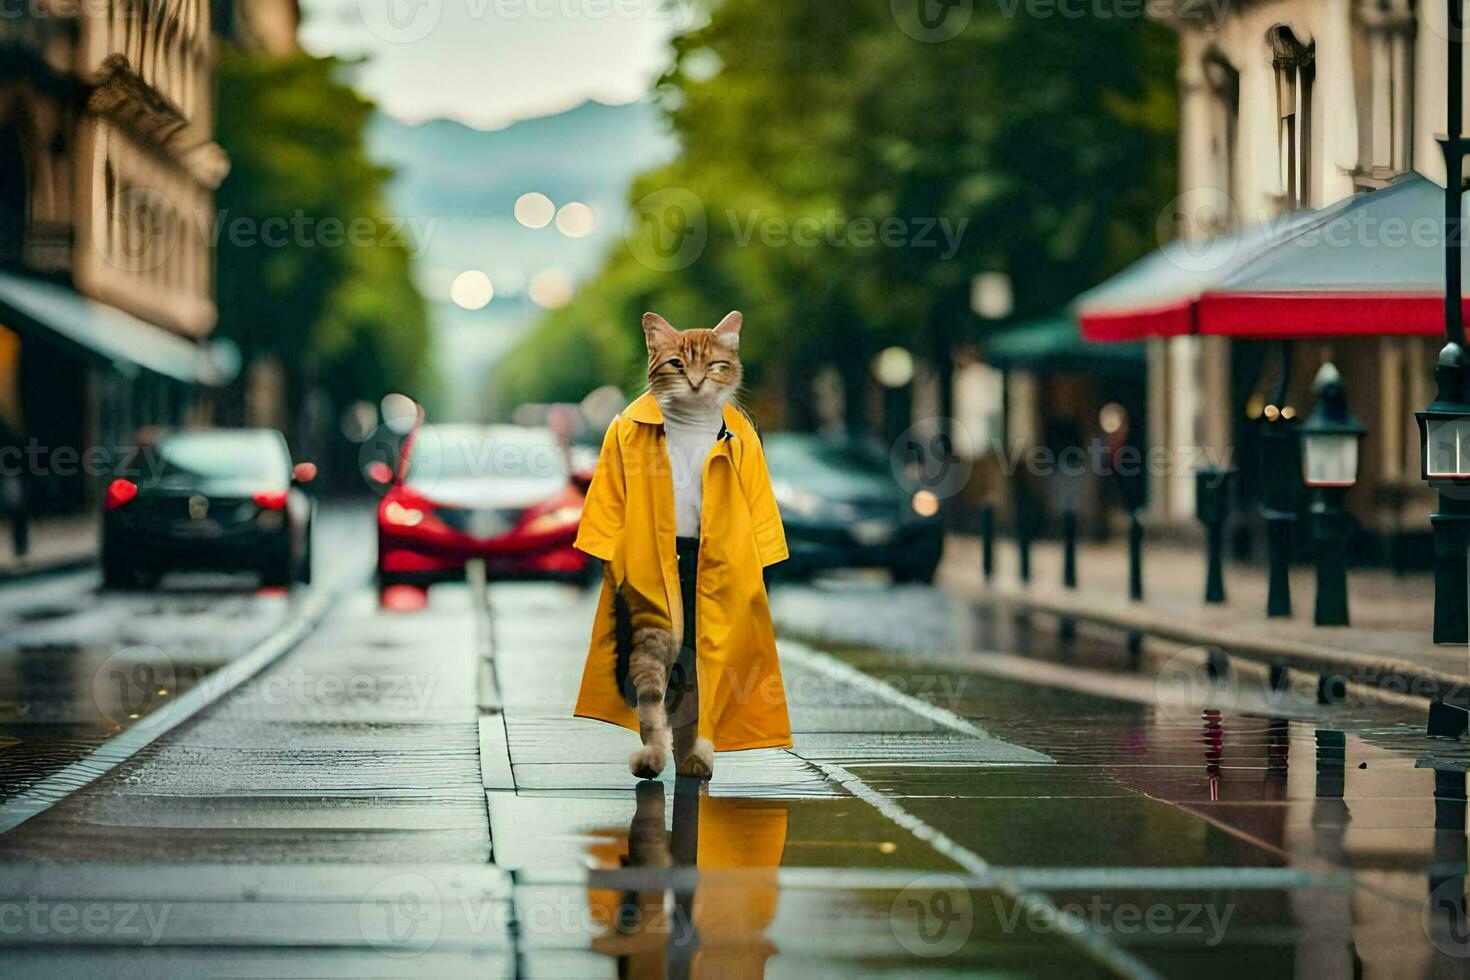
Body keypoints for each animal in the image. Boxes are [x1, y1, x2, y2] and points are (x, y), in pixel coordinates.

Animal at [623, 310, 740, 775]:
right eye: (676, 364)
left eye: (714, 365)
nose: (694, 382)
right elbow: (651, 694)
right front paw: (653, 754)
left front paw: (693, 754)